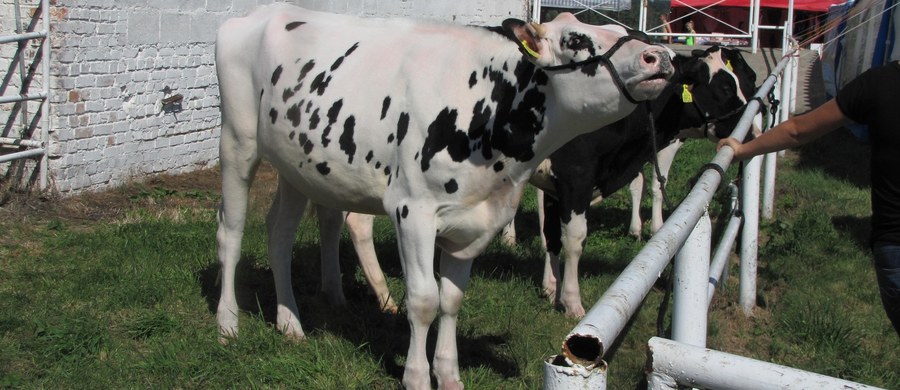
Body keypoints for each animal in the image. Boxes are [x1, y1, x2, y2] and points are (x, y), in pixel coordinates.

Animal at [214, 3, 672, 390]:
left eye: (621, 32)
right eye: (577, 39)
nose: (660, 56)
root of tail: (259, 14)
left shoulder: (473, 221)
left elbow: (451, 300)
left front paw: (449, 375)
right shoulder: (412, 211)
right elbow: (423, 301)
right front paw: (416, 378)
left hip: (296, 167)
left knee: (279, 234)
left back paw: (290, 322)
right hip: (238, 143)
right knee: (230, 233)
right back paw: (227, 322)